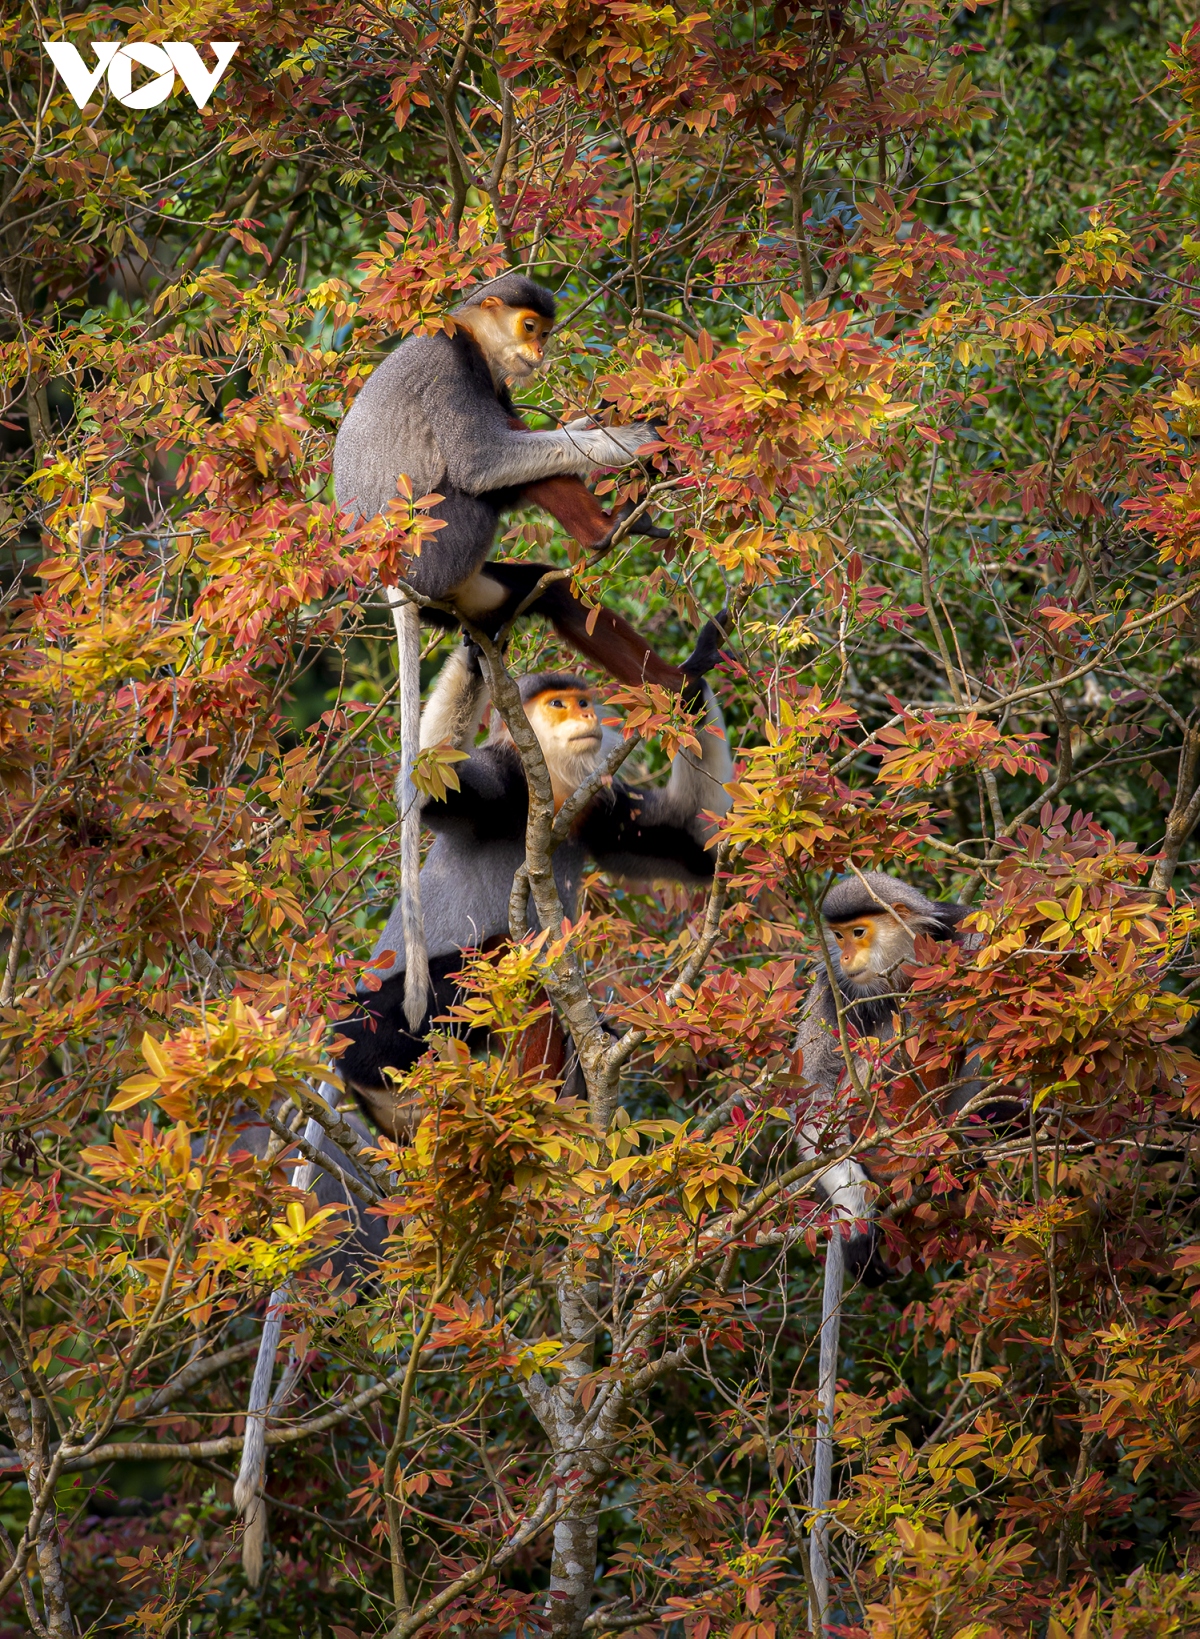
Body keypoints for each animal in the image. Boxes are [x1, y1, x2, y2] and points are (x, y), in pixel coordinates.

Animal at [332, 632, 734, 1147]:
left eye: (583, 702)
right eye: (558, 705)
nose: (586, 716)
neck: (551, 794)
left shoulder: (601, 811)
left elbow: (701, 846)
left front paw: (691, 677)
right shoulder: (502, 784)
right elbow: (424, 784)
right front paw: (476, 654)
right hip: (375, 1030)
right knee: (506, 953)